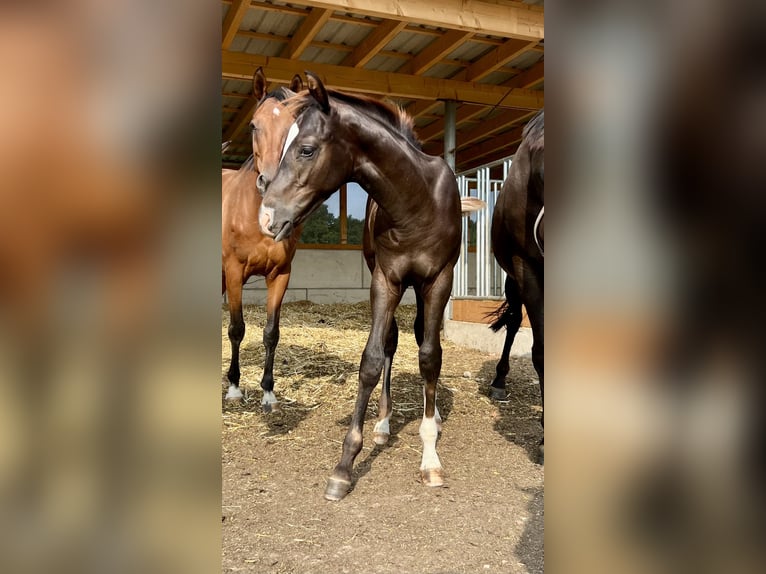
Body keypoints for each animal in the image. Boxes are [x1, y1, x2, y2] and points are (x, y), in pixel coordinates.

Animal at [256, 72, 482, 500]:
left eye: (306, 149)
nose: (266, 218)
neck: (416, 202)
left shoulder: (439, 280)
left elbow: (431, 355)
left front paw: (430, 459)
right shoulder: (385, 280)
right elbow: (373, 359)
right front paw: (345, 466)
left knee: (423, 340)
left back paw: (433, 417)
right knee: (393, 341)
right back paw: (383, 424)